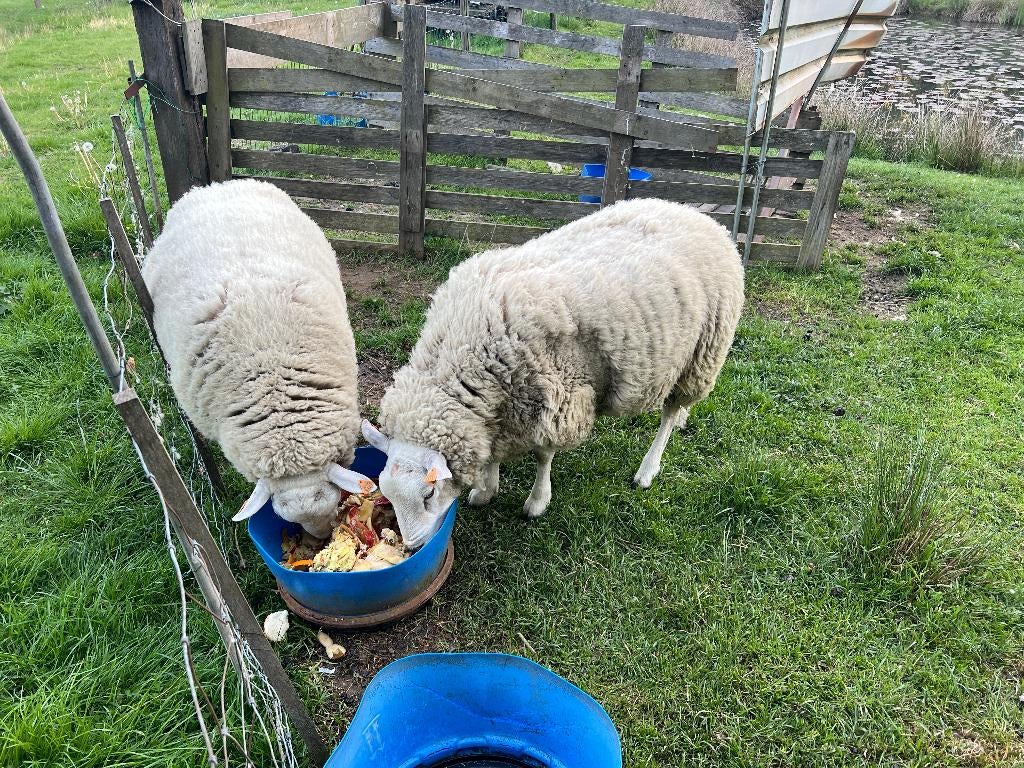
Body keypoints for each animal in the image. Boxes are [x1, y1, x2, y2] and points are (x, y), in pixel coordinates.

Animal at [361, 198, 746, 549]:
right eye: (387, 493)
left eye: (428, 495)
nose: (411, 547)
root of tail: (696, 214)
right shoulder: (501, 406)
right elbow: (494, 451)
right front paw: (487, 489)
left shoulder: (557, 396)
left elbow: (543, 455)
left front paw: (537, 501)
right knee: (677, 408)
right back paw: (682, 420)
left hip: (703, 351)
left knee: (668, 412)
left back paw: (648, 469)